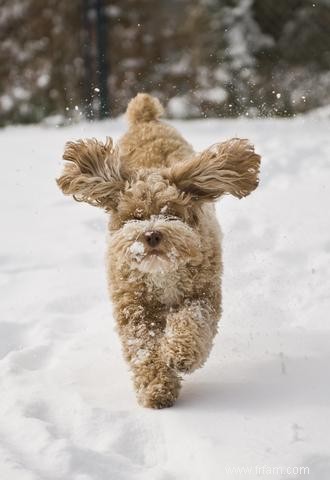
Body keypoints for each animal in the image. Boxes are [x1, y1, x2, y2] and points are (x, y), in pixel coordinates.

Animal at [56, 94, 260, 408]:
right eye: (134, 216)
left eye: (170, 212)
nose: (151, 234)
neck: (161, 272)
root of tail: (146, 119)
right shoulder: (133, 306)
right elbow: (144, 347)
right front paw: (157, 388)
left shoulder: (201, 294)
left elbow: (191, 322)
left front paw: (180, 354)